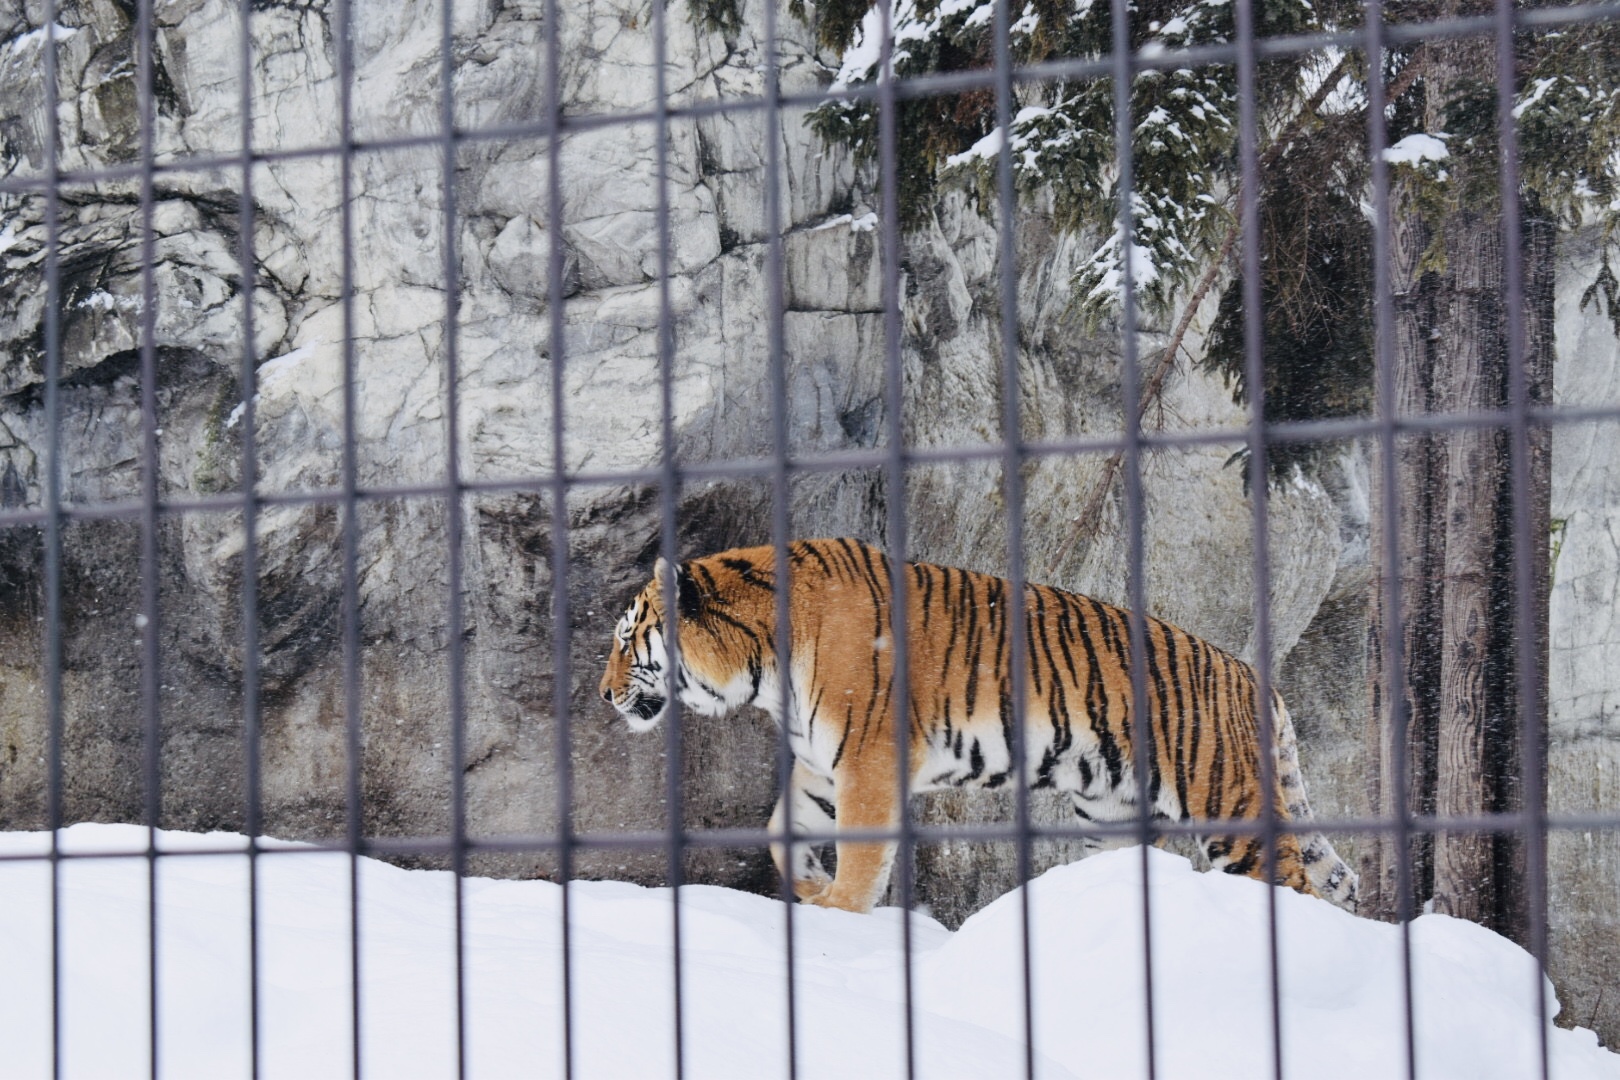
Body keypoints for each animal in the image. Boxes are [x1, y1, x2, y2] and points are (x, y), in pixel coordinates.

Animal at [596, 537, 1354, 913]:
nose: (603, 694)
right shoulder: (823, 764)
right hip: (1112, 813)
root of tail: (1255, 677)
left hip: (1225, 800)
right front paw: (809, 887)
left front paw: (840, 913)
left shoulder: (868, 760)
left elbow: (863, 853)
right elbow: (784, 826)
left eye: (627, 639)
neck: (764, 665)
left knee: (1292, 880)